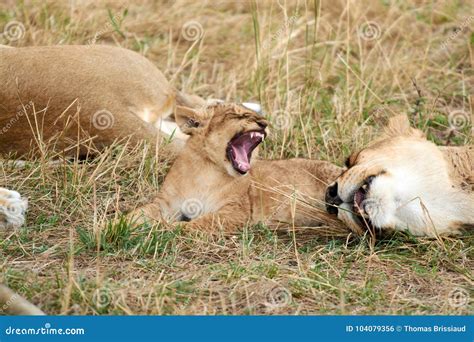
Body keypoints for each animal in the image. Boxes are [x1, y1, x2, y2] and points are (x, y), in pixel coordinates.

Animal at [128, 103, 342, 231]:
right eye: (238, 115)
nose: (264, 123)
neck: (205, 170)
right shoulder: (166, 202)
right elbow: (141, 212)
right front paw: (122, 224)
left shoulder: (235, 212)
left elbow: (200, 223)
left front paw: (163, 228)